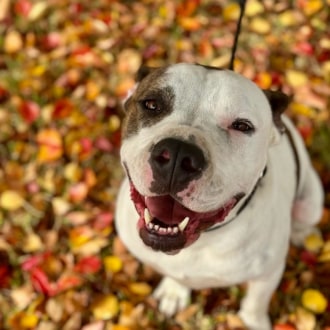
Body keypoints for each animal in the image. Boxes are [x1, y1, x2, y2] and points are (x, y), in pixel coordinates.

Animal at [114, 4, 324, 330]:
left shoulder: (268, 274)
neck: (204, 241)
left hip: (311, 200)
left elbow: (254, 304)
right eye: (151, 104)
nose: (178, 154)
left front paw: (252, 321)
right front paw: (175, 290)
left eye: (242, 126)